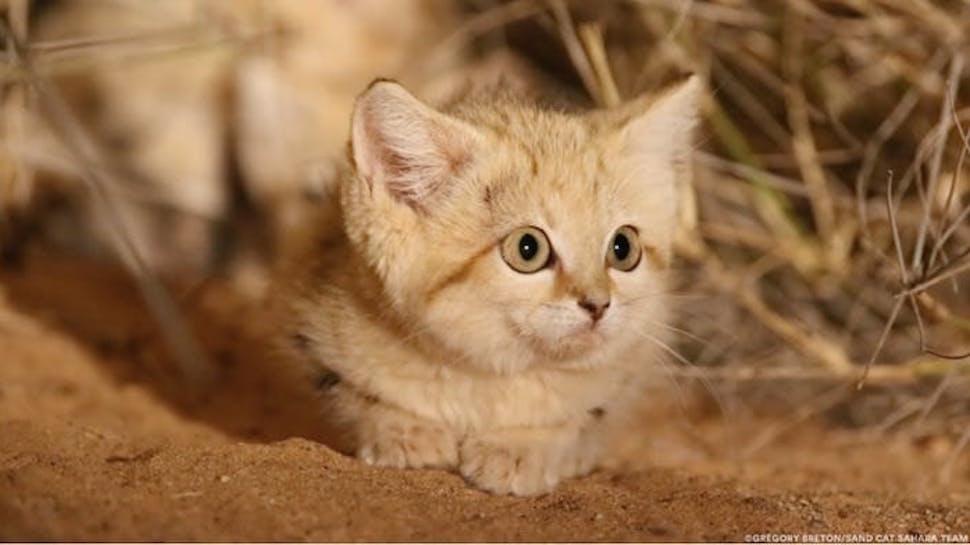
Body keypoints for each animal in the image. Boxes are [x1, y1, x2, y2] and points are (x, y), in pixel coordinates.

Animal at [280, 77, 696, 498]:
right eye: (528, 248)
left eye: (623, 248)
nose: (598, 304)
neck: (484, 379)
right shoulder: (309, 332)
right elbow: (354, 397)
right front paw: (406, 432)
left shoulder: (627, 375)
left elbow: (579, 419)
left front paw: (521, 446)